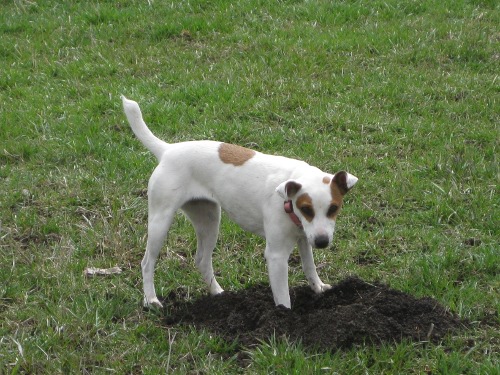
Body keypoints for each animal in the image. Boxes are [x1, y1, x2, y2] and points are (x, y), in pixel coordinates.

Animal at [122, 96, 358, 308]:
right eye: (306, 208)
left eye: (334, 208)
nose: (322, 242)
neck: (288, 200)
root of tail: (167, 150)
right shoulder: (276, 256)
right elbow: (283, 298)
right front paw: (284, 316)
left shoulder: (304, 238)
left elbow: (309, 267)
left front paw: (318, 287)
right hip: (160, 222)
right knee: (147, 262)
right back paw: (151, 300)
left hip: (209, 220)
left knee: (202, 260)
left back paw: (218, 294)